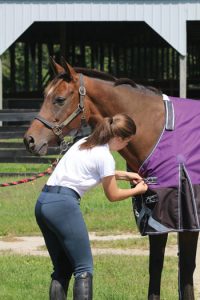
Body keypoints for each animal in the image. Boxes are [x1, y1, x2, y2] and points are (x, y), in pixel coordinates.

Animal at [23, 57, 200, 298]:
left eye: (59, 99)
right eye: (44, 96)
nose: (29, 140)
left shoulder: (185, 220)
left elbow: (186, 271)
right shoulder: (155, 218)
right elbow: (156, 267)